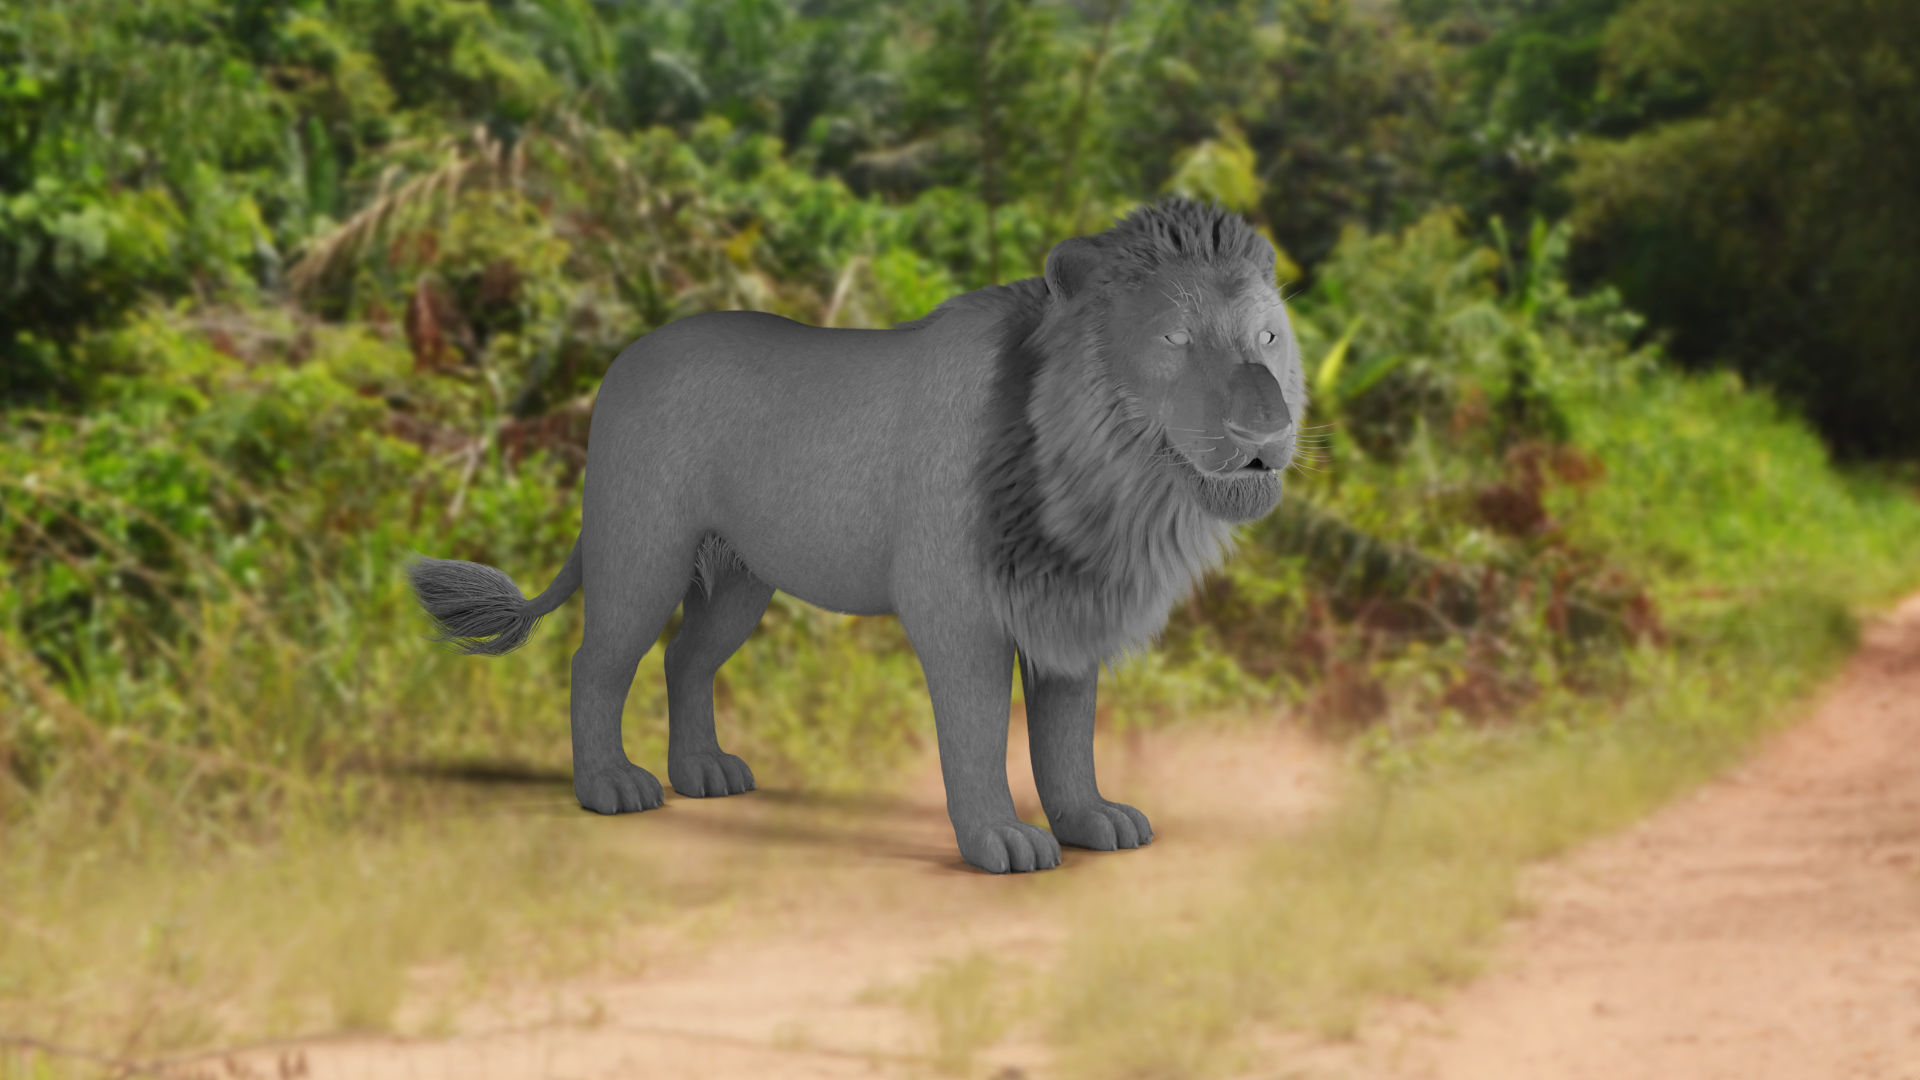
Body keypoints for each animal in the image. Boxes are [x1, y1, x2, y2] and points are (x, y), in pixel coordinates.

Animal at [406, 197, 1304, 874]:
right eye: (1175, 339)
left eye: (1266, 337)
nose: (1267, 426)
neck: (1106, 490)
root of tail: (624, 359)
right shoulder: (960, 613)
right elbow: (979, 731)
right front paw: (1002, 839)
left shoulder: (1066, 606)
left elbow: (1066, 737)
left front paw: (1091, 820)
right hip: (642, 550)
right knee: (597, 663)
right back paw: (609, 785)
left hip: (740, 578)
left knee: (684, 658)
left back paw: (704, 773)